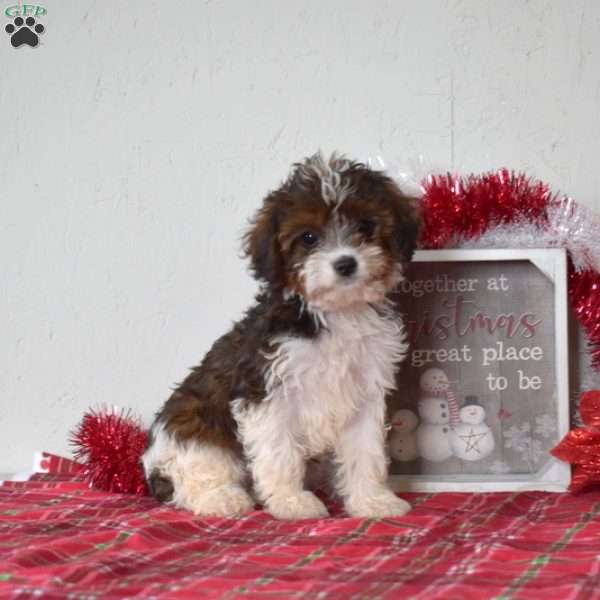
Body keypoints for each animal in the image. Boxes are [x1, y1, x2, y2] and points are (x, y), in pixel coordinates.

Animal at [142, 152, 420, 516]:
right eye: (309, 238)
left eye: (365, 226)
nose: (345, 263)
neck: (335, 314)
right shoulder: (267, 392)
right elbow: (280, 453)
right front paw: (292, 501)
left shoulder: (365, 393)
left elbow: (365, 452)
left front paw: (372, 500)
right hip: (192, 429)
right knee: (191, 478)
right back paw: (222, 498)